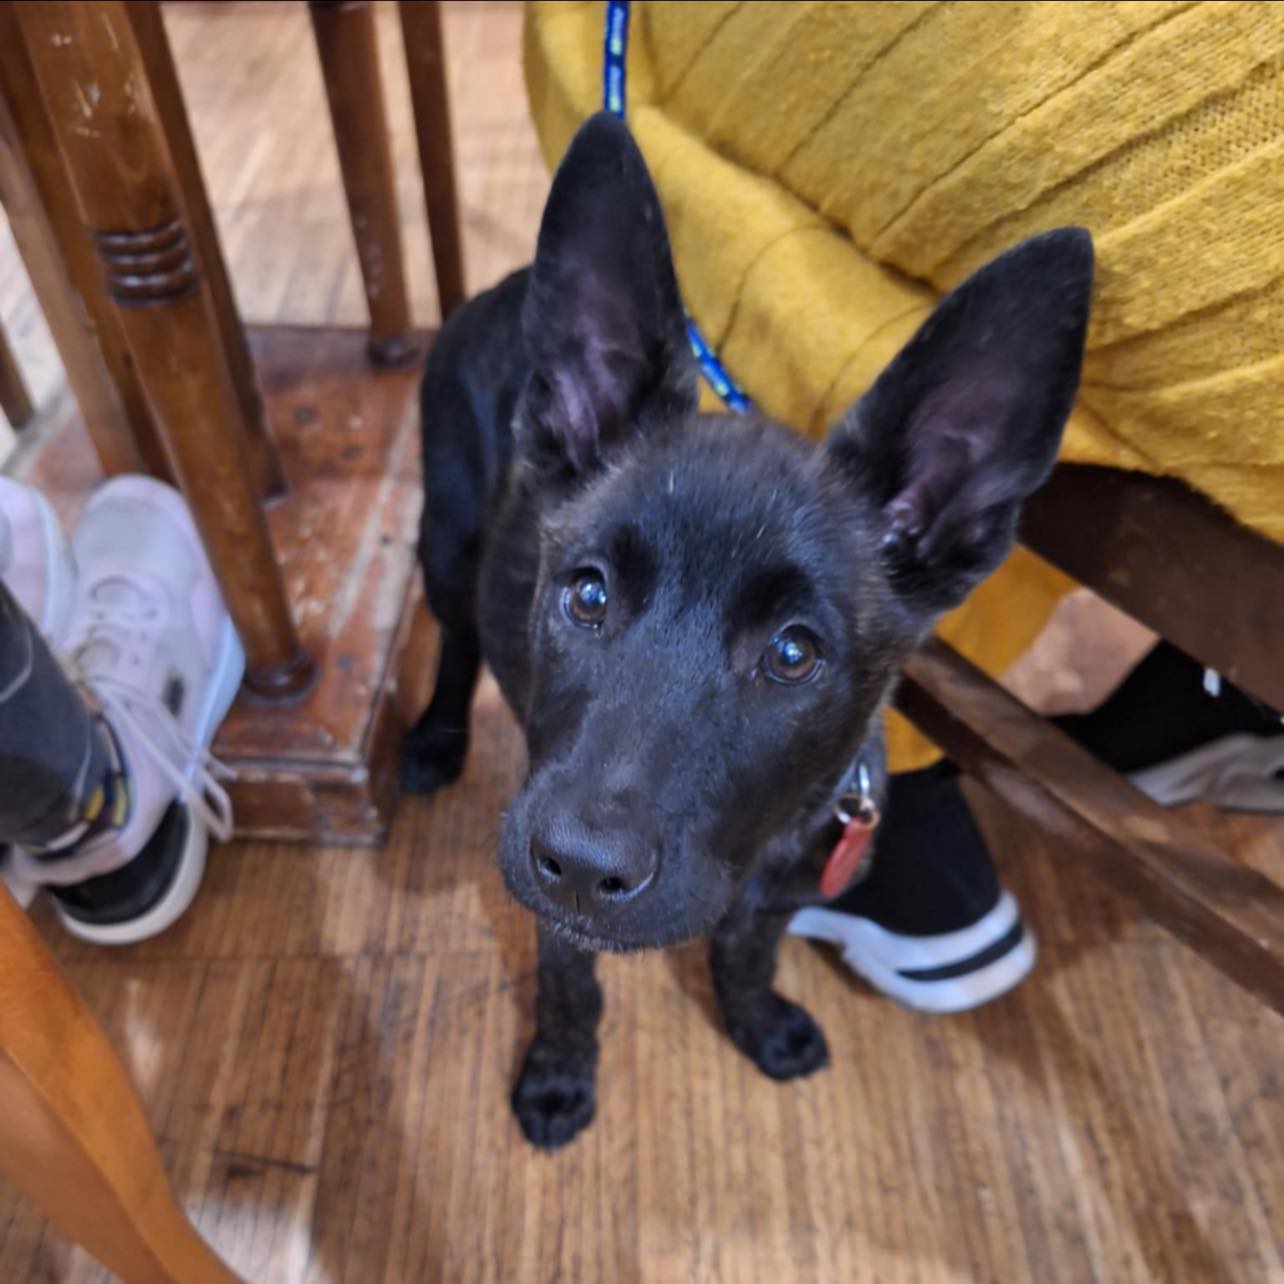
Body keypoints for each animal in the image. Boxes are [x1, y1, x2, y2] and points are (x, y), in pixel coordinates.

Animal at [402, 112, 1093, 1149]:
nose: (581, 868)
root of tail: (510, 282)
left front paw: (758, 1023)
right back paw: (436, 740)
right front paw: (559, 1073)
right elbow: (570, 987)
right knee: (453, 640)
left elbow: (748, 957)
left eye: (793, 653)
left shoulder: (774, 899)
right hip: (446, 536)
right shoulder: (556, 904)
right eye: (588, 596)